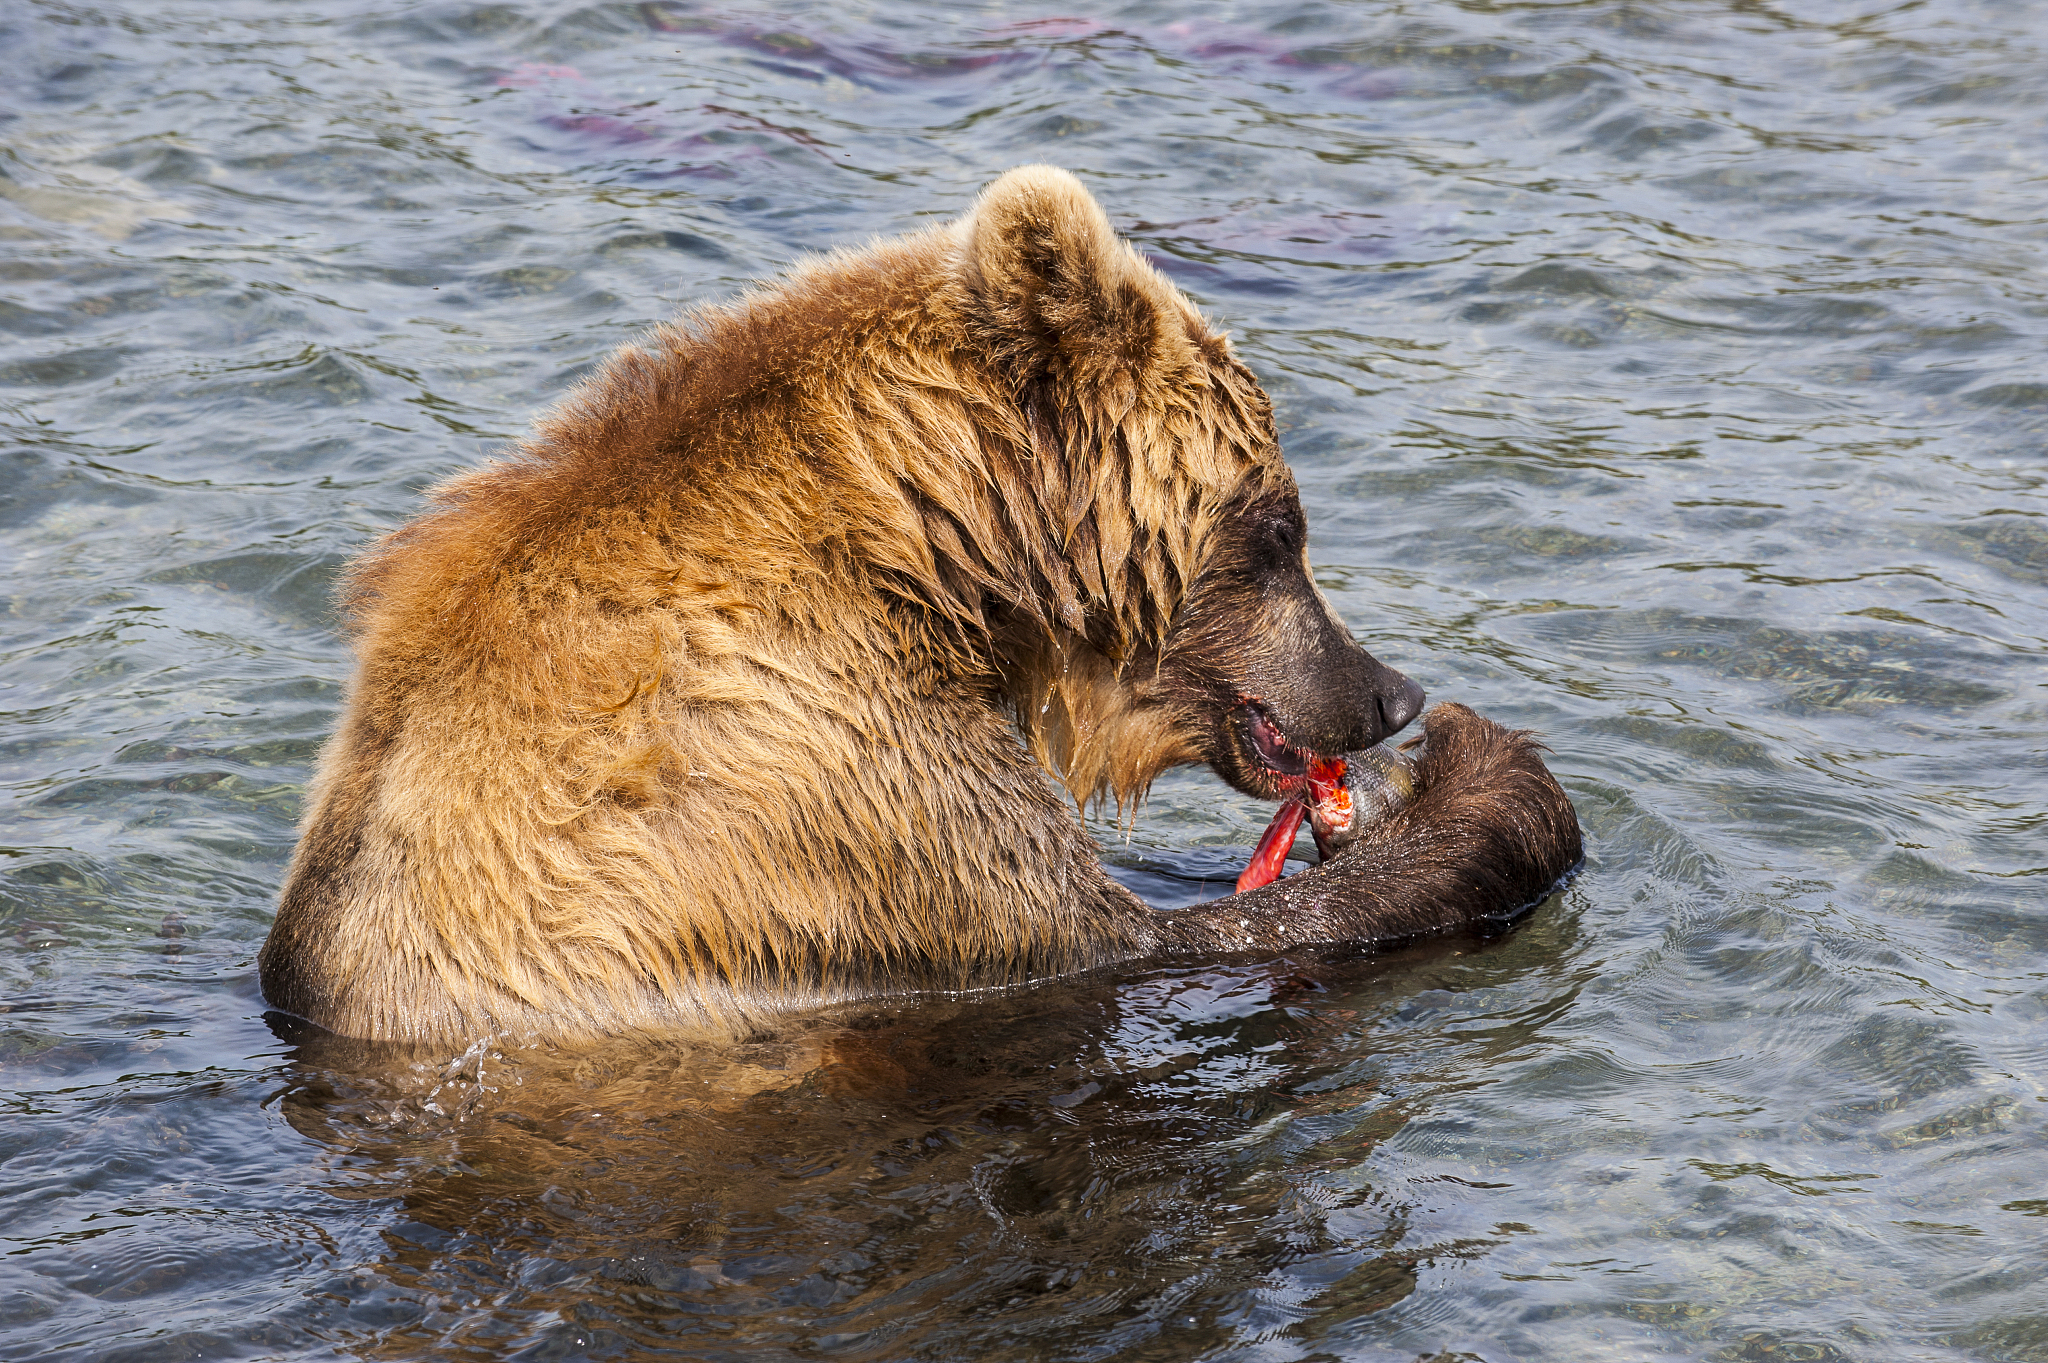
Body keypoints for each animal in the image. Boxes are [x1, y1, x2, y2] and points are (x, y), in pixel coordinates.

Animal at [260, 166, 1582, 1046]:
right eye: (1280, 526)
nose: (1388, 690)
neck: (929, 559)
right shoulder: (826, 789)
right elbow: (1148, 937)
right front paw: (1482, 775)